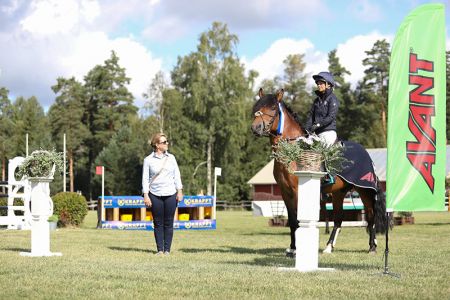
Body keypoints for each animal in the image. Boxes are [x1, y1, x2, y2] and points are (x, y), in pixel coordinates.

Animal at [250, 88, 386, 255]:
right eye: (257, 107)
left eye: (273, 108)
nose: (255, 128)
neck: (291, 152)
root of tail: (366, 153)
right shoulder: (285, 192)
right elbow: (292, 220)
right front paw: (292, 248)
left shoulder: (297, 190)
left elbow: (298, 219)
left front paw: (297, 250)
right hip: (339, 192)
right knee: (338, 219)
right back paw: (329, 247)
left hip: (364, 190)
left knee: (371, 216)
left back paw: (372, 247)